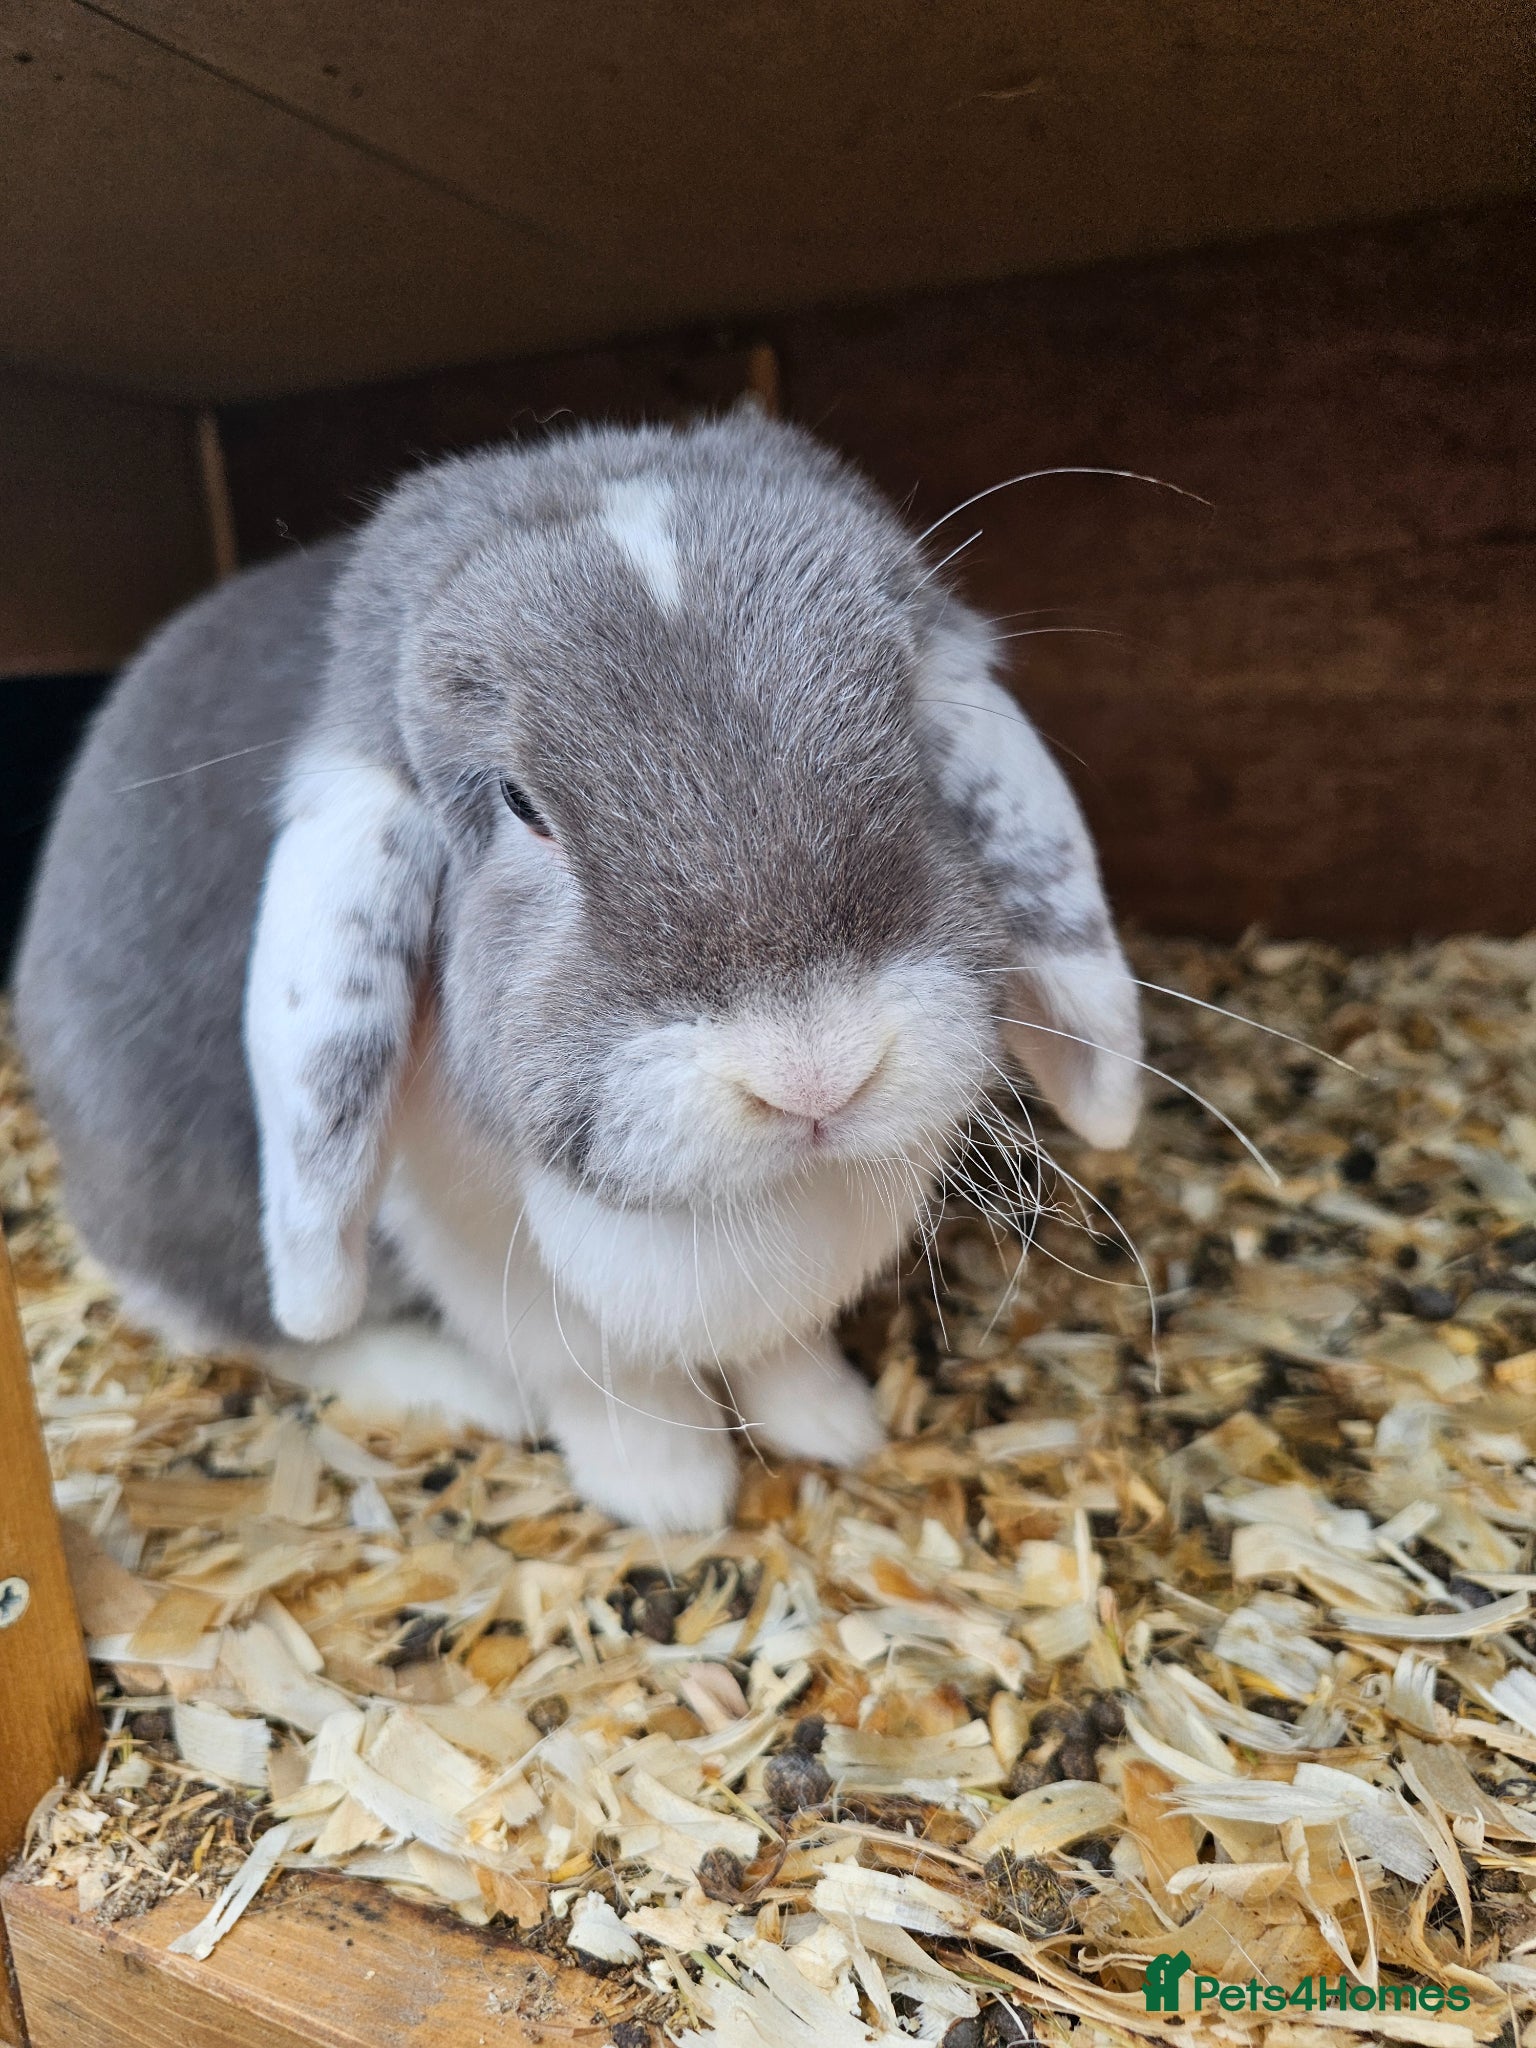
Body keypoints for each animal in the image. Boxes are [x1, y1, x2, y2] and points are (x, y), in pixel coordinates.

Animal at [14, 411, 1141, 1531]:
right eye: (522, 805)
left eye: (904, 720)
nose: (815, 1074)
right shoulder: (514, 1286)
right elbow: (615, 1385)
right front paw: (671, 1493)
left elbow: (781, 1348)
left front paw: (830, 1423)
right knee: (267, 1325)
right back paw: (457, 1388)